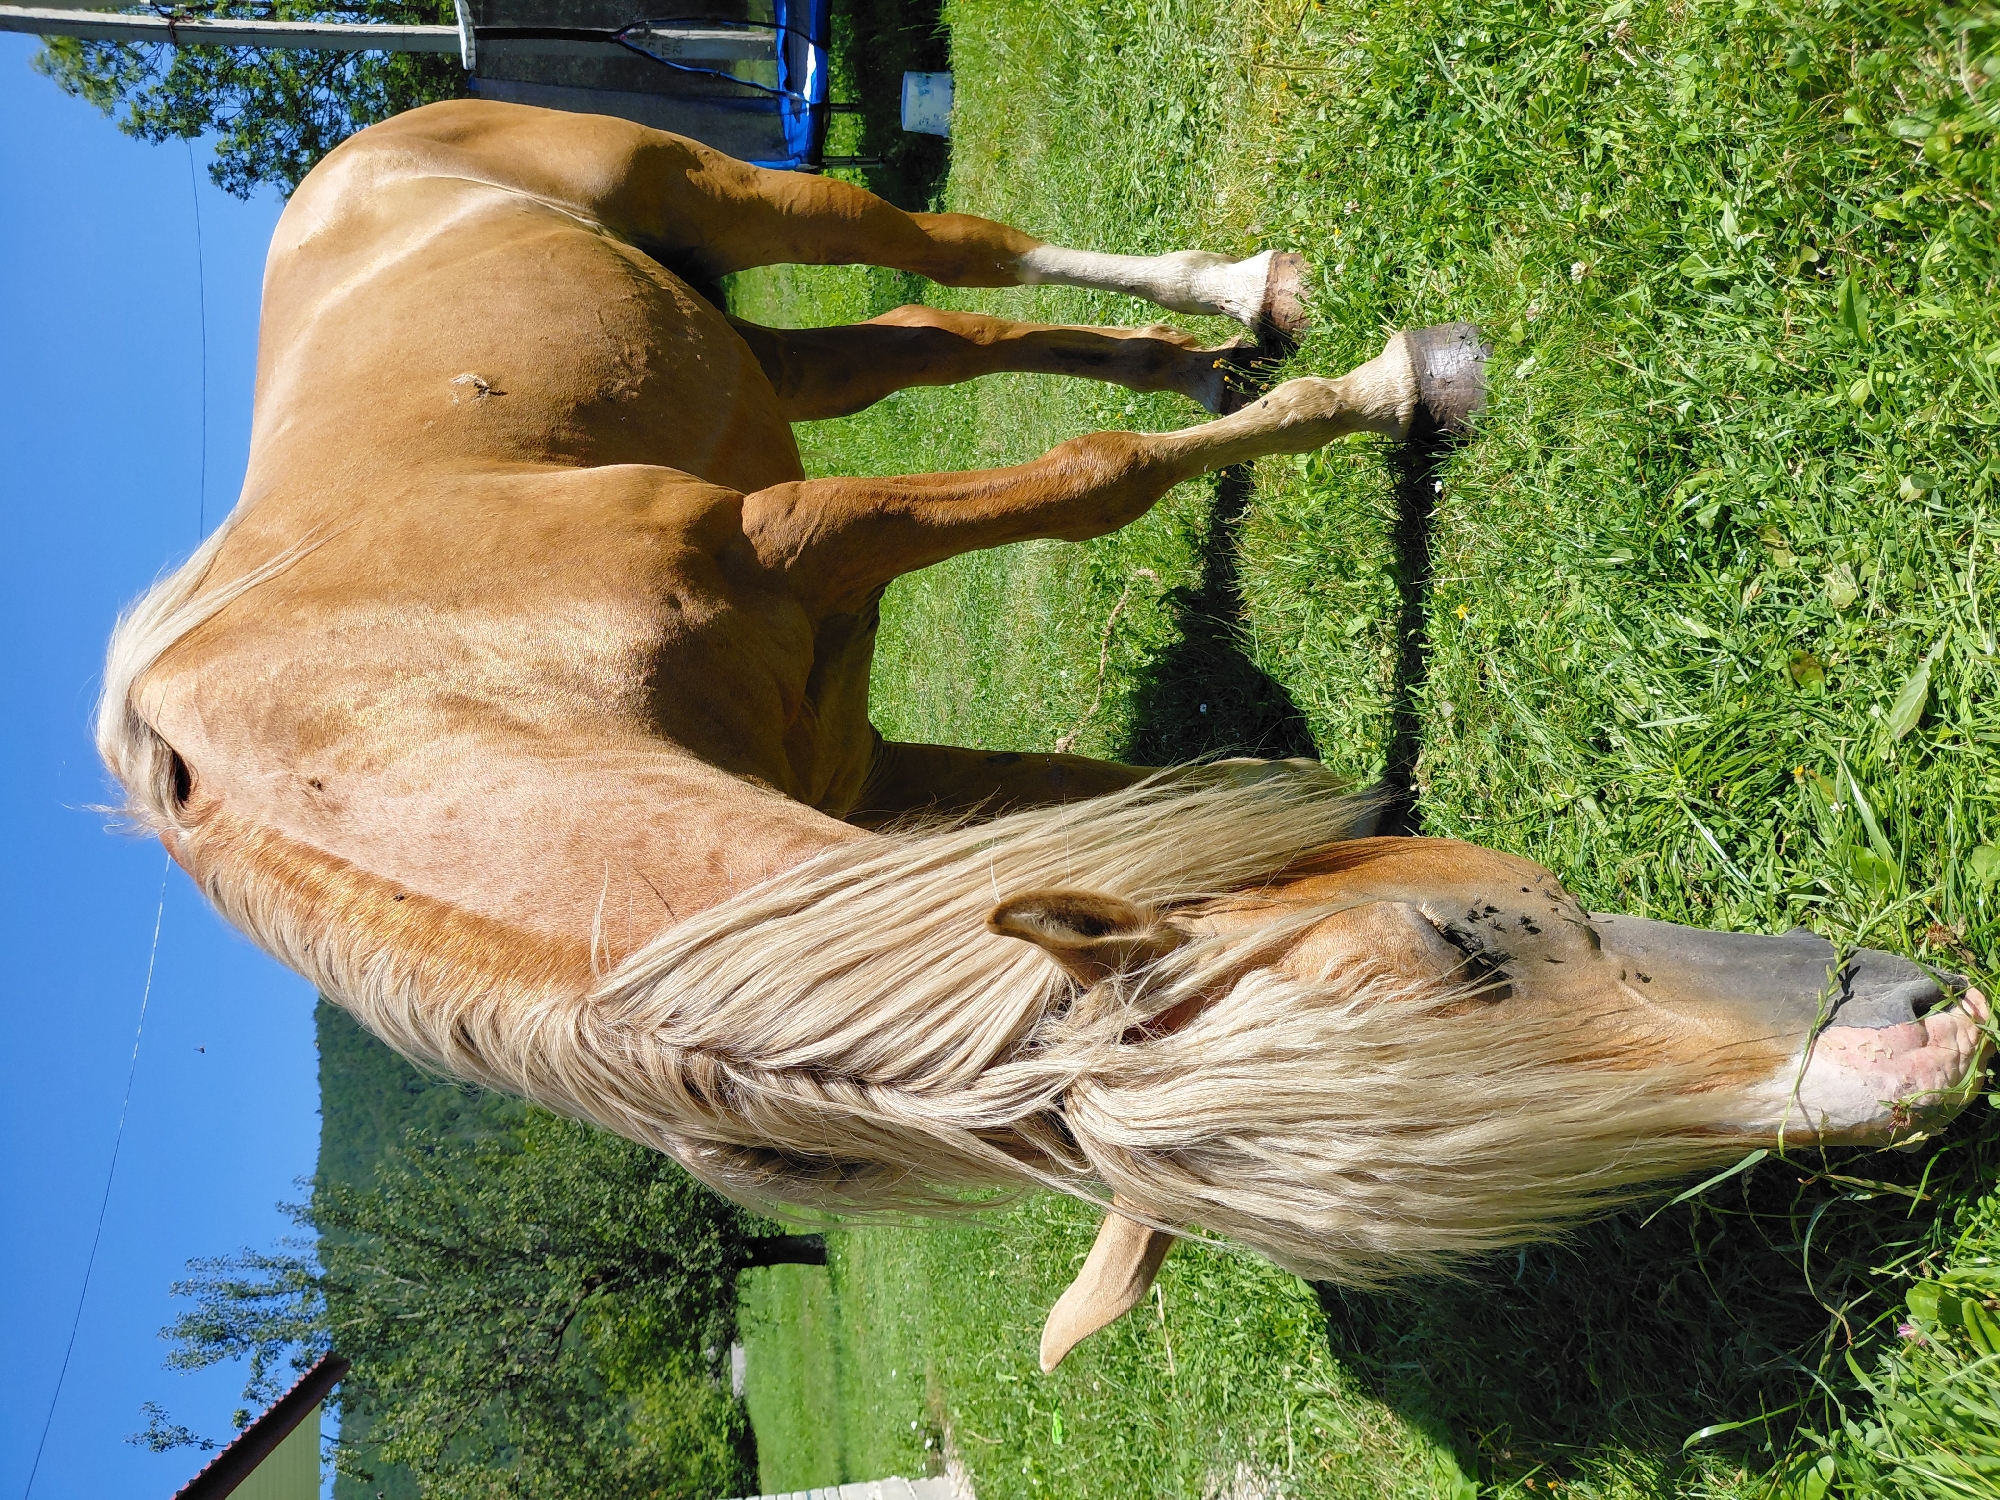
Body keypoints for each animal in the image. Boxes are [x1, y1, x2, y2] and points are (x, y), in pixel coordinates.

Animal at [100, 101, 1989, 1370]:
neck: (413, 702)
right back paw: (1218, 353)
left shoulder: (803, 543)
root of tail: (353, 156)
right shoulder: (884, 794)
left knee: (946, 261)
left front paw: (1395, 387)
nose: (1929, 1038)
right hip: (755, 341)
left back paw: (1254, 298)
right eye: (1468, 945)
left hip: (714, 197)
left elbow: (1090, 484)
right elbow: (1131, 778)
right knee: (942, 335)